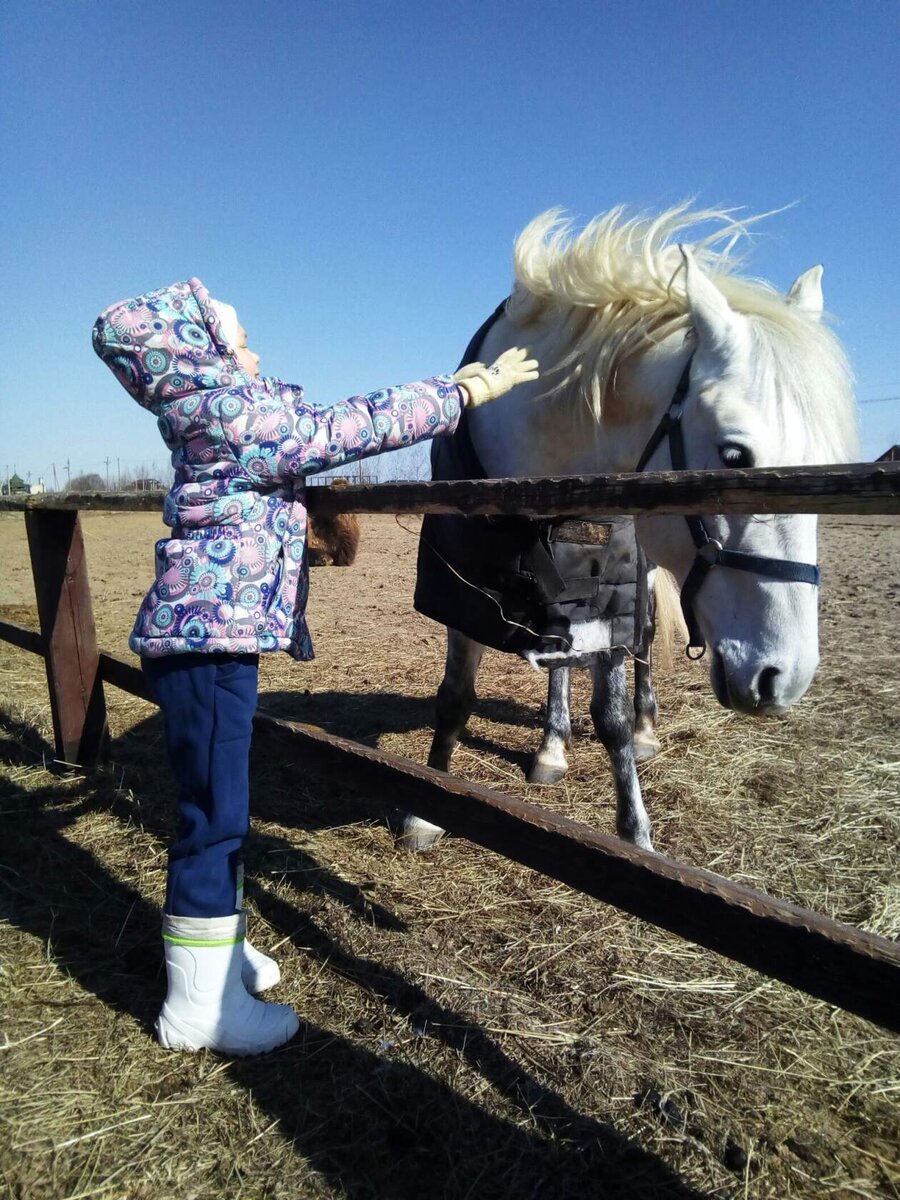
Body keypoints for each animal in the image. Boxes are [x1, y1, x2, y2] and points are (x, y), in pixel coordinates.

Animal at [405, 199, 864, 854]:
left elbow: (614, 715)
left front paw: (636, 834)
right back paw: (552, 746)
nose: (784, 677)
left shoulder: (614, 585)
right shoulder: (468, 583)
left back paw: (643, 727)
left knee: (642, 646)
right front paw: (426, 808)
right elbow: (455, 698)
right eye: (734, 455)